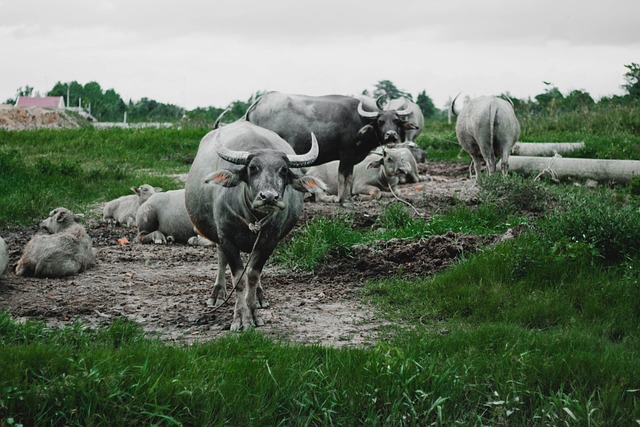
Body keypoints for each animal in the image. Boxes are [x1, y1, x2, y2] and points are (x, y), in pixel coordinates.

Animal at [184, 120, 324, 332]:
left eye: (284, 170)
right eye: (252, 168)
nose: (269, 197)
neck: (253, 217)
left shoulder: (269, 242)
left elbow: (252, 275)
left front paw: (253, 315)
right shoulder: (227, 238)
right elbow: (238, 279)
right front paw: (240, 319)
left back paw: (259, 296)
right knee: (221, 259)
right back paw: (217, 294)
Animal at [242, 91, 418, 208]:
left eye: (396, 120)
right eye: (380, 121)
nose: (391, 135)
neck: (360, 121)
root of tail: (259, 102)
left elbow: (349, 177)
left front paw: (349, 199)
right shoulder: (346, 154)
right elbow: (343, 177)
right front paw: (344, 201)